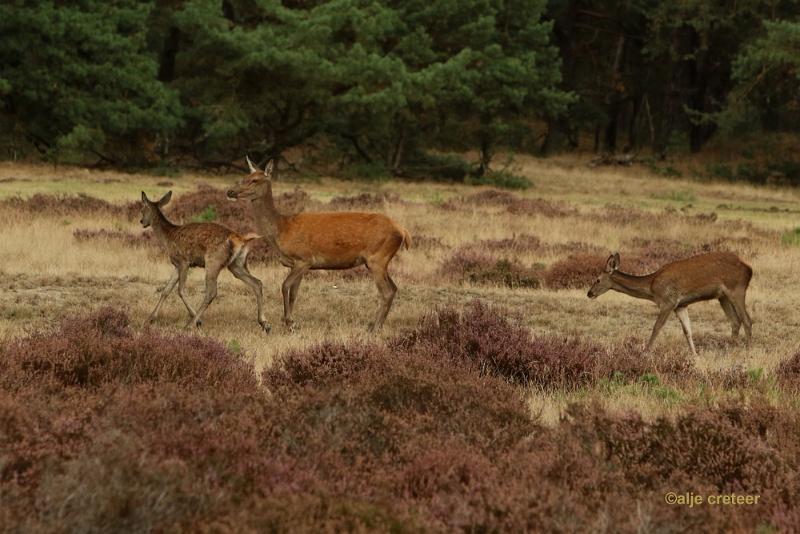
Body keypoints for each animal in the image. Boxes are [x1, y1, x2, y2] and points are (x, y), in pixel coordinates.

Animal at [139, 191, 270, 332]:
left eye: (142, 209)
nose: (141, 221)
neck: (168, 238)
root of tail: (241, 239)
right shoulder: (176, 265)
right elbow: (166, 290)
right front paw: (150, 319)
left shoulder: (184, 261)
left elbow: (180, 290)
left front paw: (197, 319)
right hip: (236, 264)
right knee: (257, 282)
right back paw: (264, 323)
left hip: (213, 261)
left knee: (211, 292)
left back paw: (190, 324)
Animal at [227, 157, 410, 332]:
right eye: (244, 177)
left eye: (255, 180)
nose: (230, 191)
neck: (281, 229)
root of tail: (402, 231)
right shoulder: (297, 264)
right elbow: (294, 292)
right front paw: (292, 323)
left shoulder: (304, 259)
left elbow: (285, 286)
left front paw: (288, 322)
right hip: (380, 261)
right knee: (393, 288)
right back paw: (375, 325)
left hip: (377, 257)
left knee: (386, 291)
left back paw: (374, 328)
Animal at [584, 252, 752, 356]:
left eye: (597, 279)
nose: (589, 293)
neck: (652, 288)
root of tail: (749, 269)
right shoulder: (680, 306)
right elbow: (687, 331)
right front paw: (695, 355)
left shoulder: (668, 301)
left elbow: (656, 327)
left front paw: (645, 352)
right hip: (722, 297)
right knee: (735, 321)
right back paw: (731, 349)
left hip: (737, 289)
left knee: (747, 320)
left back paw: (747, 351)